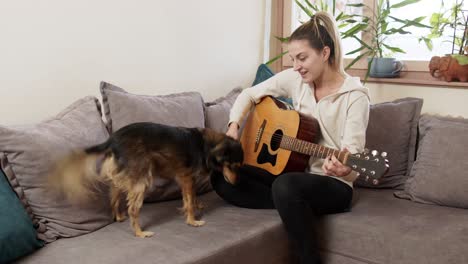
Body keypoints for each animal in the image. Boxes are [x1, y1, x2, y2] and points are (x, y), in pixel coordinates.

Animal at [49, 122, 243, 238]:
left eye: (239, 166)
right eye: (232, 166)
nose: (236, 183)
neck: (208, 147)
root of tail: (112, 139)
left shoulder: (185, 181)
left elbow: (191, 198)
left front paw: (197, 206)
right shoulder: (187, 178)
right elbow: (188, 202)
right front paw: (193, 221)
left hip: (121, 178)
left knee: (114, 198)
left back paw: (119, 217)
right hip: (141, 181)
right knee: (133, 209)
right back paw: (140, 233)